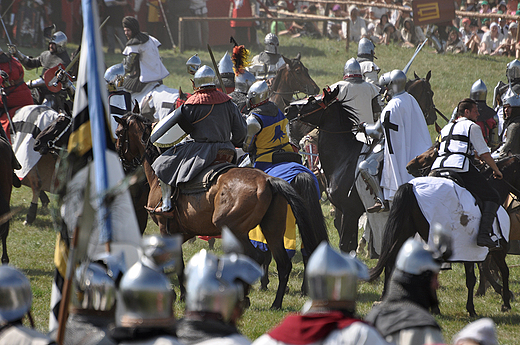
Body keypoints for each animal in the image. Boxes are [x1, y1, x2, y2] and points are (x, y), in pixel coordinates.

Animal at [114, 113, 328, 310]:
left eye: (119, 132)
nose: (121, 161)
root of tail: (268, 180)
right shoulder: (183, 232)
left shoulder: (164, 229)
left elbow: (177, 263)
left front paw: (181, 295)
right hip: (272, 229)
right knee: (284, 263)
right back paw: (276, 303)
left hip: (234, 228)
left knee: (257, 258)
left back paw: (245, 296)